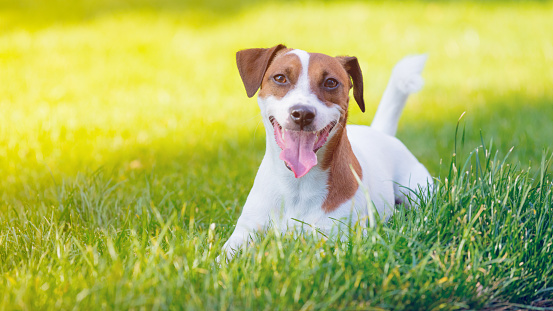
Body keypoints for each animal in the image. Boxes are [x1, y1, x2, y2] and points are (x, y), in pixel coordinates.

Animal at [221, 44, 432, 258]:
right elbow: (225, 256)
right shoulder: (246, 230)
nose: (302, 113)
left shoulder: (340, 237)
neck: (297, 184)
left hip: (418, 191)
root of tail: (380, 132)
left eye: (331, 82)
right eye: (280, 78)